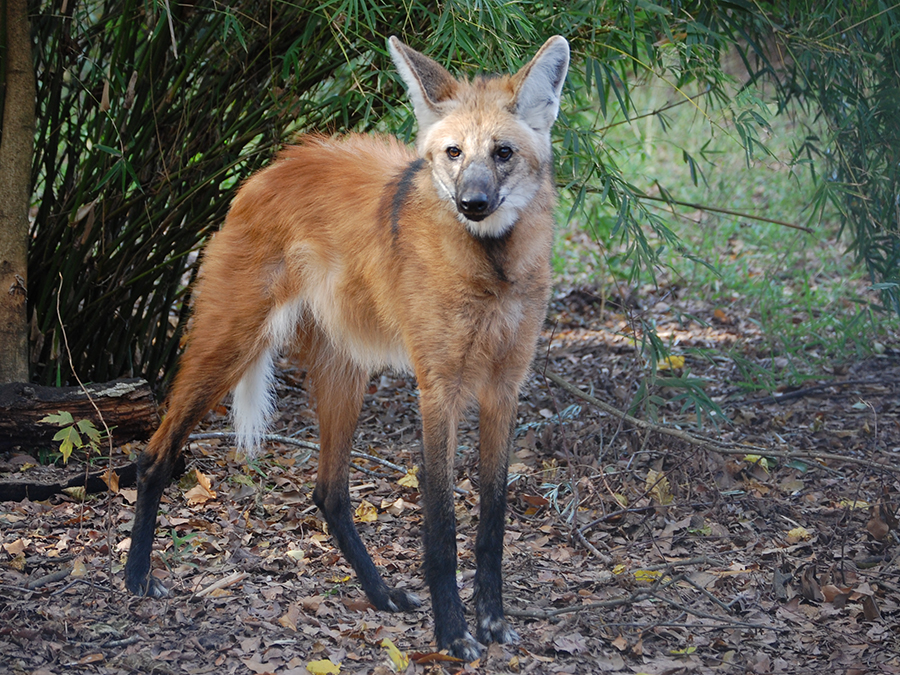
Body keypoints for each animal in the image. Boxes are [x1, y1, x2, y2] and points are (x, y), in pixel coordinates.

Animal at [125, 33, 568, 660]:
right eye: (454, 153)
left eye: (502, 152)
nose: (473, 203)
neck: (492, 265)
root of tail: (272, 165)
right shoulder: (440, 388)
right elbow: (442, 522)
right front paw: (453, 636)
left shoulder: (504, 387)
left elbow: (493, 520)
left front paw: (494, 624)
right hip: (232, 342)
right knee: (155, 455)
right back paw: (138, 577)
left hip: (345, 368)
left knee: (329, 492)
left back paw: (381, 596)